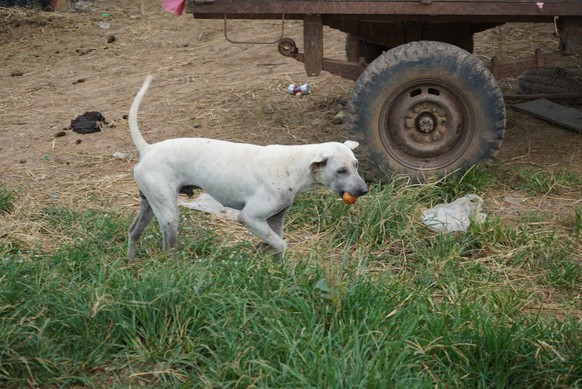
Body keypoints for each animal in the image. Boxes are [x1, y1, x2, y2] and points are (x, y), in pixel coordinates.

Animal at [129, 74, 370, 260]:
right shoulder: (250, 217)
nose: (364, 190)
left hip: (150, 206)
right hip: (169, 215)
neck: (293, 164)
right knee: (168, 249)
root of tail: (148, 149)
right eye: (341, 170)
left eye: (356, 165)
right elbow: (280, 244)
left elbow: (276, 246)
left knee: (133, 232)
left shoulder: (276, 219)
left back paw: (131, 260)